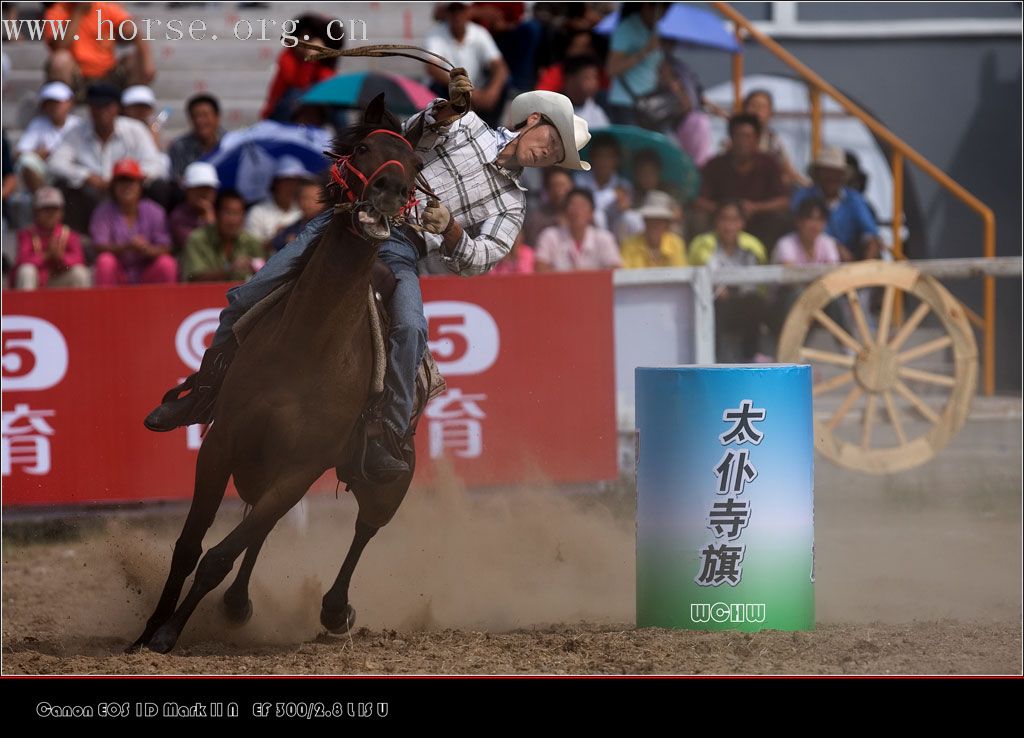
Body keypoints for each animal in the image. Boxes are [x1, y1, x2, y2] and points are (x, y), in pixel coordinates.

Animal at [131, 95, 423, 655]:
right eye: (362, 148)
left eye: (417, 167)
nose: (390, 192)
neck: (307, 344)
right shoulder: (221, 444)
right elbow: (189, 546)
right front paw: (147, 632)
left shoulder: (302, 468)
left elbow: (218, 556)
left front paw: (170, 632)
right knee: (262, 530)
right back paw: (238, 604)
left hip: (388, 485)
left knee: (363, 530)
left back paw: (333, 609)